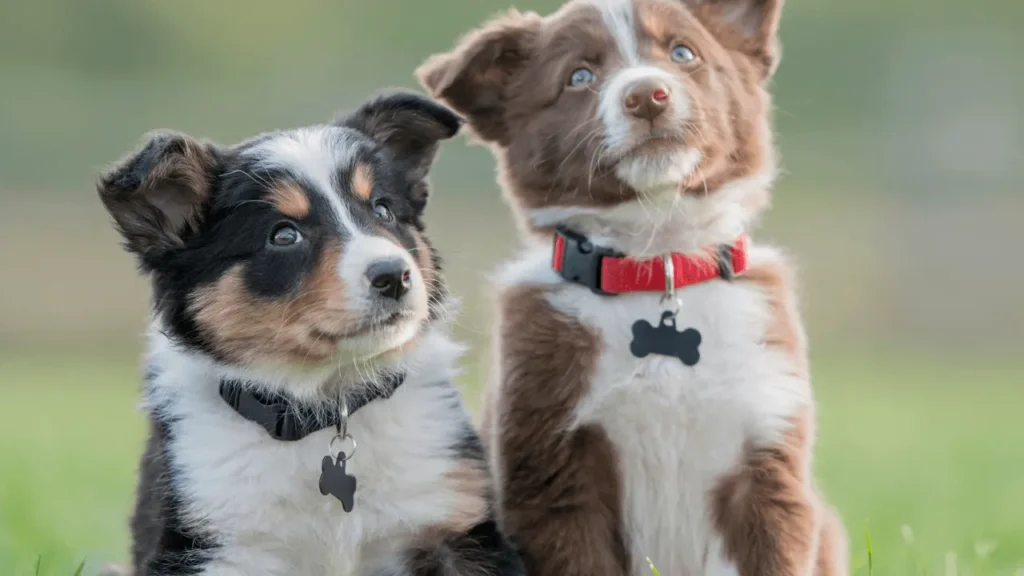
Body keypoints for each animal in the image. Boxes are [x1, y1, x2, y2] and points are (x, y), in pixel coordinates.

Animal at [98, 91, 524, 569]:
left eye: (383, 209)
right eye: (284, 235)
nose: (394, 276)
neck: (326, 406)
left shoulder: (456, 524)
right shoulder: (212, 545)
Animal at [419, 1, 851, 573]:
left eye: (683, 53)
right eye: (579, 76)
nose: (647, 94)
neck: (656, 260)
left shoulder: (767, 454)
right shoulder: (553, 473)